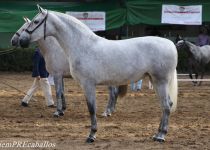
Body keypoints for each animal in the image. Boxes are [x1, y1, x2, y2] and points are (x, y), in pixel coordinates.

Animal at [18, 6, 178, 143]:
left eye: (36, 22)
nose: (21, 40)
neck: (82, 46)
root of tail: (171, 44)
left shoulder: (87, 84)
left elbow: (91, 108)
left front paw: (92, 135)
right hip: (155, 81)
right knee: (167, 105)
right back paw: (157, 134)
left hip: (160, 81)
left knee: (166, 106)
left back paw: (161, 136)